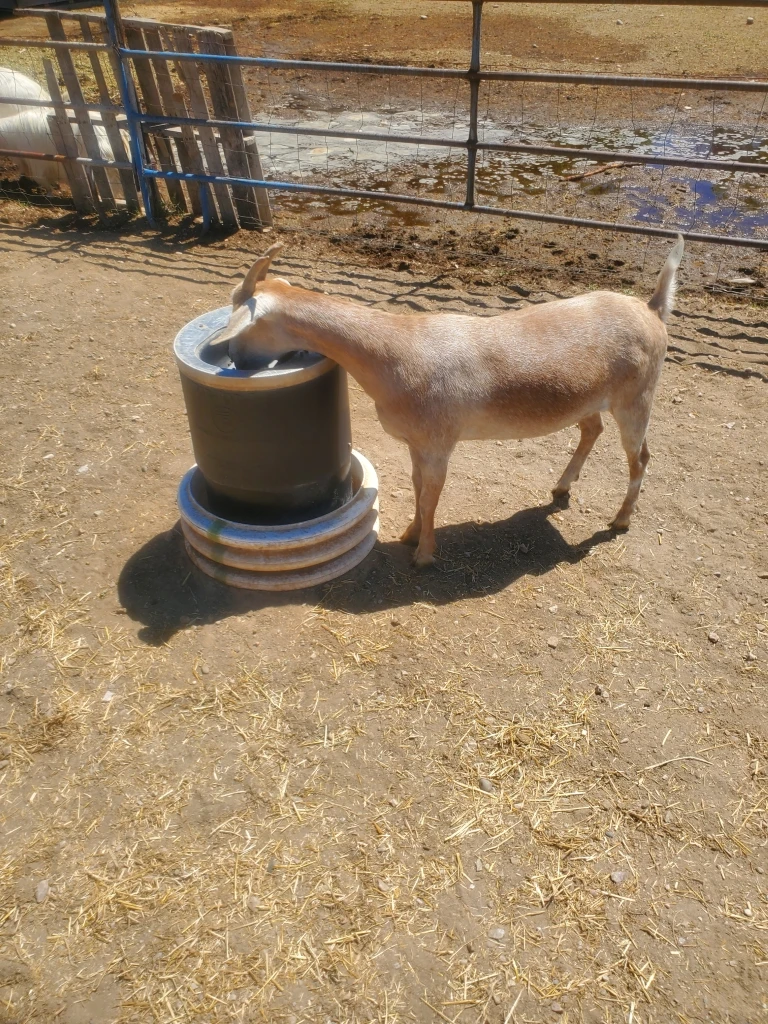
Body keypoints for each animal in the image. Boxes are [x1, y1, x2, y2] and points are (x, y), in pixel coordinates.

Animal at [216, 236, 685, 568]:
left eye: (239, 315)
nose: (234, 359)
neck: (396, 352)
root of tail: (653, 309)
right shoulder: (417, 443)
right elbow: (417, 487)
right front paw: (410, 534)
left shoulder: (439, 442)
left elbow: (430, 496)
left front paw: (423, 555)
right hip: (589, 399)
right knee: (592, 428)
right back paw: (561, 488)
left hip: (637, 397)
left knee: (641, 457)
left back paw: (621, 519)